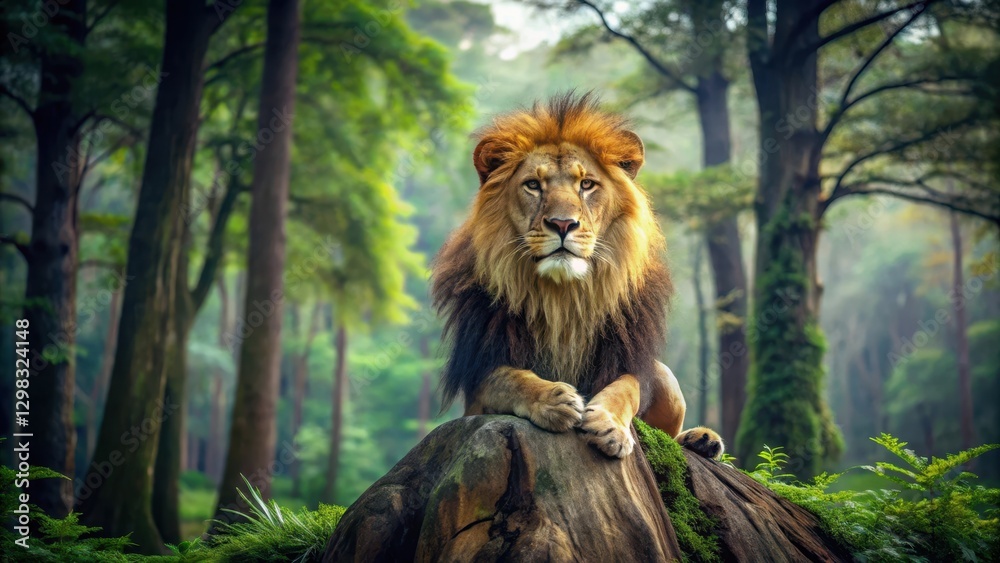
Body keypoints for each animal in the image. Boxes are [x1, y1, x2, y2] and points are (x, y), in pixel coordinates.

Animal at [431, 93, 723, 460]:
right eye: (533, 185)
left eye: (586, 184)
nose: (562, 223)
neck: (564, 297)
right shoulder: (479, 376)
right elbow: (508, 378)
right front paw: (553, 399)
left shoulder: (627, 359)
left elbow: (626, 389)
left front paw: (609, 425)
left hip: (665, 376)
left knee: (669, 432)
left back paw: (701, 439)